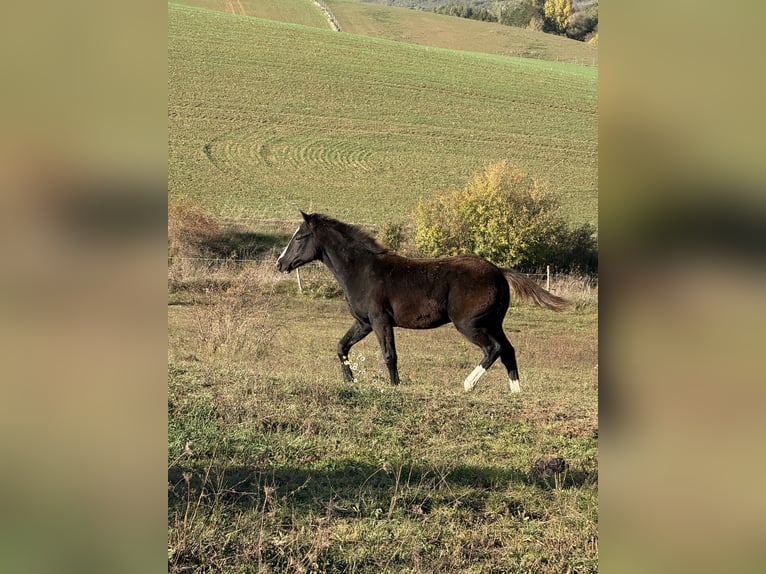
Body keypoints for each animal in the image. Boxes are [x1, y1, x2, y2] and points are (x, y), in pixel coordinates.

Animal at [276, 212, 570, 393]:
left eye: (299, 237)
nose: (281, 263)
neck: (362, 270)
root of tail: (499, 270)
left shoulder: (380, 321)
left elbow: (389, 355)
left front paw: (395, 386)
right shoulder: (364, 322)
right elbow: (341, 346)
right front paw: (350, 380)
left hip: (470, 324)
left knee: (493, 349)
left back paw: (468, 384)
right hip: (492, 323)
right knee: (508, 350)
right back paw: (515, 392)